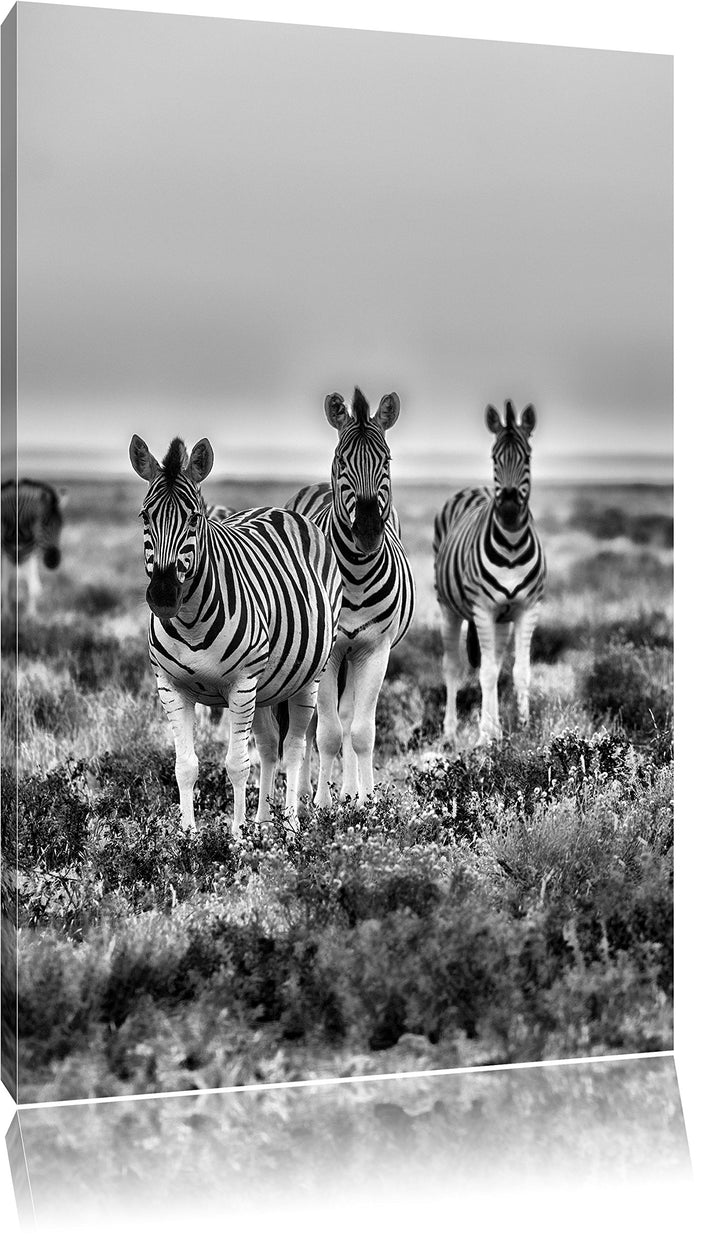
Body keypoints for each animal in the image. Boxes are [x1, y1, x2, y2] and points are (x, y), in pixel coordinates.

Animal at [1, 478, 66, 620]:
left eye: (61, 525)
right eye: (43, 524)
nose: (54, 561)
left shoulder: (30, 554)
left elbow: (33, 587)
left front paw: (31, 616)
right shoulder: (5, 554)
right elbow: (4, 587)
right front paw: (5, 616)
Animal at [129, 434, 342, 834]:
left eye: (194, 518)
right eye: (145, 516)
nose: (163, 596)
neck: (190, 620)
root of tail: (279, 510)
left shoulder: (241, 685)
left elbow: (237, 765)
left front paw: (237, 837)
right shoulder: (170, 686)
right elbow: (185, 766)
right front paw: (188, 836)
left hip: (307, 678)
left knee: (294, 748)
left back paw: (291, 825)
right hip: (266, 686)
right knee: (270, 744)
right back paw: (263, 822)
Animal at [286, 387, 415, 807]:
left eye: (386, 460)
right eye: (342, 460)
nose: (369, 532)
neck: (356, 577)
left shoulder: (375, 650)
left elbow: (361, 732)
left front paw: (366, 802)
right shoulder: (328, 654)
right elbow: (325, 732)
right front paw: (321, 806)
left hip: (353, 656)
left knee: (346, 717)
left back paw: (346, 790)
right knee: (311, 723)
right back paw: (307, 793)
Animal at [433, 400, 546, 746]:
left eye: (527, 457)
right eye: (495, 457)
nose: (508, 508)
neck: (510, 546)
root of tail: (473, 488)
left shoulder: (527, 609)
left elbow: (519, 671)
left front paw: (523, 728)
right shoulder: (483, 609)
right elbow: (482, 673)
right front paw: (484, 737)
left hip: (502, 620)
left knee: (494, 665)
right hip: (449, 608)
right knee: (453, 667)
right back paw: (451, 732)